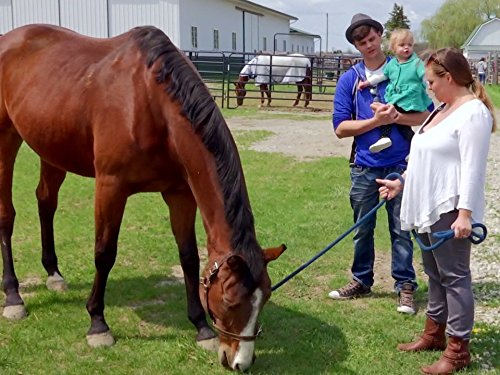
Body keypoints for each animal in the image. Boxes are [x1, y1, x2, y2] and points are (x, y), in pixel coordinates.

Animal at [0, 24, 286, 374]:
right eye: (231, 301)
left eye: (266, 297)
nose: (240, 362)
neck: (149, 101)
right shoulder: (110, 187)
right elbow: (104, 254)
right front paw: (97, 323)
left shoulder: (180, 194)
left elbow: (188, 257)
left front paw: (200, 326)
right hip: (6, 139)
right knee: (7, 215)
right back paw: (13, 295)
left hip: (51, 147)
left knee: (45, 201)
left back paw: (54, 274)